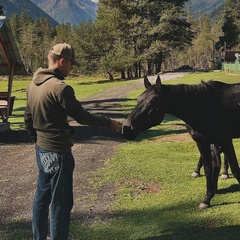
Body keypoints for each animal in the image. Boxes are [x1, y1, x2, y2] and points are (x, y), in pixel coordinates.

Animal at [123, 75, 240, 208]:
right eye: (138, 99)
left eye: (153, 103)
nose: (126, 128)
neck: (204, 106)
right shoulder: (202, 143)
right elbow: (208, 169)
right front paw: (207, 199)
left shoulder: (225, 141)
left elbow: (235, 169)